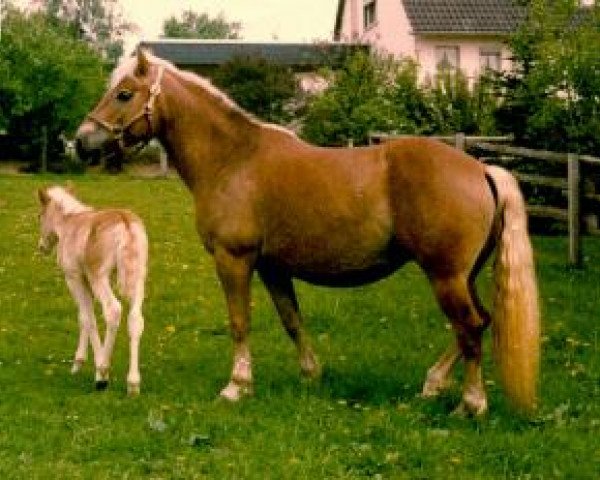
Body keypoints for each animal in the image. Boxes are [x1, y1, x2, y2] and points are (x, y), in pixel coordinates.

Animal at [37, 185, 148, 394]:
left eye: (39, 216)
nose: (41, 247)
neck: (68, 224)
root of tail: (125, 223)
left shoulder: (74, 277)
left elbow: (87, 318)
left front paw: (90, 366)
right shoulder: (86, 279)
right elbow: (85, 316)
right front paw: (79, 363)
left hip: (100, 277)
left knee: (113, 310)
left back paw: (102, 372)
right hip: (138, 277)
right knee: (135, 319)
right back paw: (133, 383)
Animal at [75, 50, 540, 414]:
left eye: (123, 94)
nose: (81, 141)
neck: (234, 158)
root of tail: (481, 168)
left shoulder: (234, 260)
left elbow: (240, 322)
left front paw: (236, 386)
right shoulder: (273, 268)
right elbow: (292, 321)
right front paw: (310, 374)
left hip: (446, 276)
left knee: (470, 327)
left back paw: (471, 404)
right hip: (462, 276)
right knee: (477, 323)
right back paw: (433, 385)